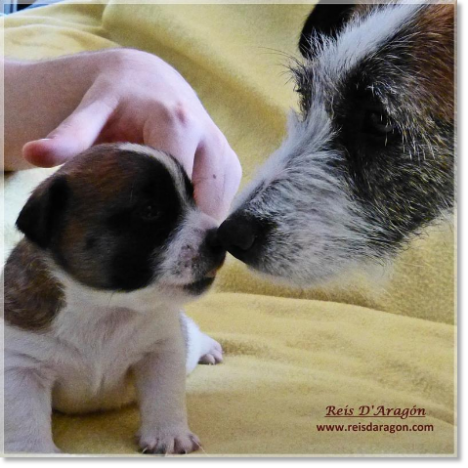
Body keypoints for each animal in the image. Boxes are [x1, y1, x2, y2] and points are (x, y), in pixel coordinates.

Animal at [1, 143, 225, 454]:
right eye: (150, 211)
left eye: (193, 201)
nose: (222, 239)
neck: (104, 307)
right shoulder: (22, 367)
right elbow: (24, 416)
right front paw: (34, 452)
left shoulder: (161, 351)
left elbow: (165, 396)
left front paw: (168, 433)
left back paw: (209, 348)